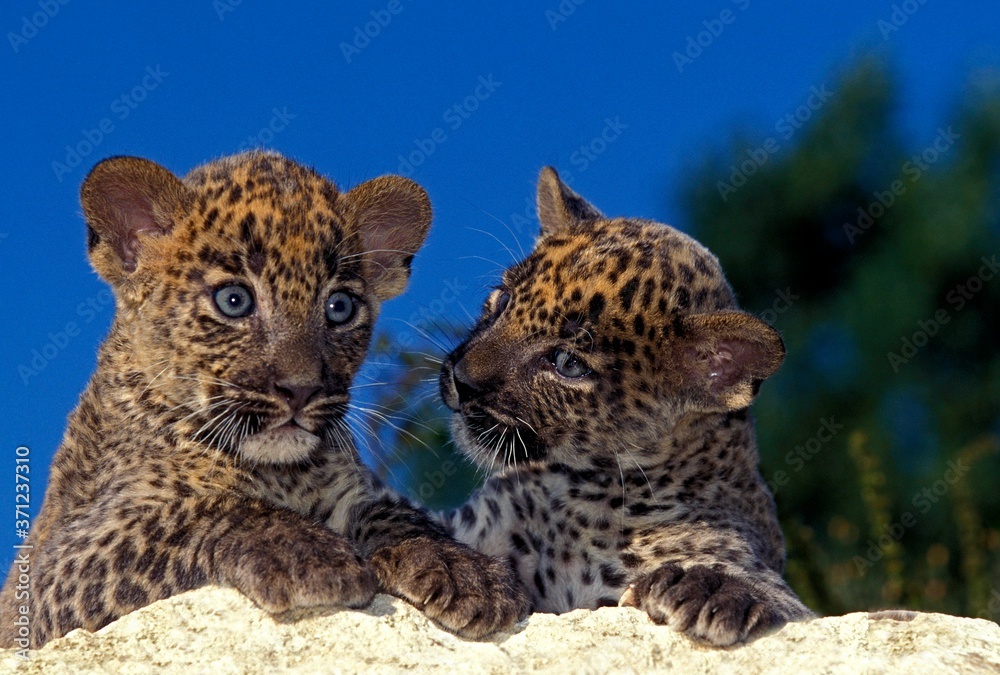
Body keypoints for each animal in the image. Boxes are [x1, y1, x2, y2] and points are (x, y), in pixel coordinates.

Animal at [0, 150, 526, 649]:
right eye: (234, 301)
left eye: (340, 307)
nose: (301, 389)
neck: (282, 475)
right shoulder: (54, 568)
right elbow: (201, 509)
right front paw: (308, 554)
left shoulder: (354, 492)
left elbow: (397, 513)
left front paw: (461, 568)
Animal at [437, 167, 813, 646]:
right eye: (503, 300)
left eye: (567, 363)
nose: (462, 380)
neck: (580, 491)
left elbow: (778, 599)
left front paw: (713, 589)